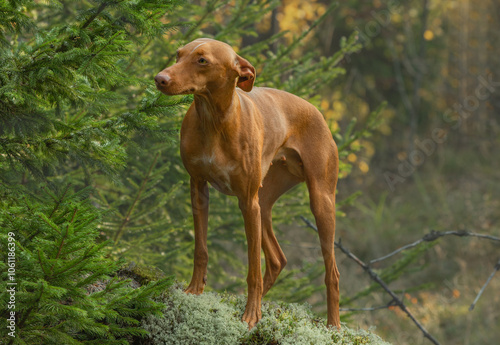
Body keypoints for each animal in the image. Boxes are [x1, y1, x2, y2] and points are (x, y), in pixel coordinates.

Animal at [155, 38, 340, 328]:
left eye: (202, 60)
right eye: (178, 54)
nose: (160, 79)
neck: (215, 121)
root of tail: (317, 111)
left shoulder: (246, 202)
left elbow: (252, 268)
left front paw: (251, 315)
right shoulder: (198, 188)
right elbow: (200, 249)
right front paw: (194, 290)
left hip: (318, 204)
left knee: (331, 273)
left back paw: (334, 326)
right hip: (263, 203)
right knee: (277, 260)